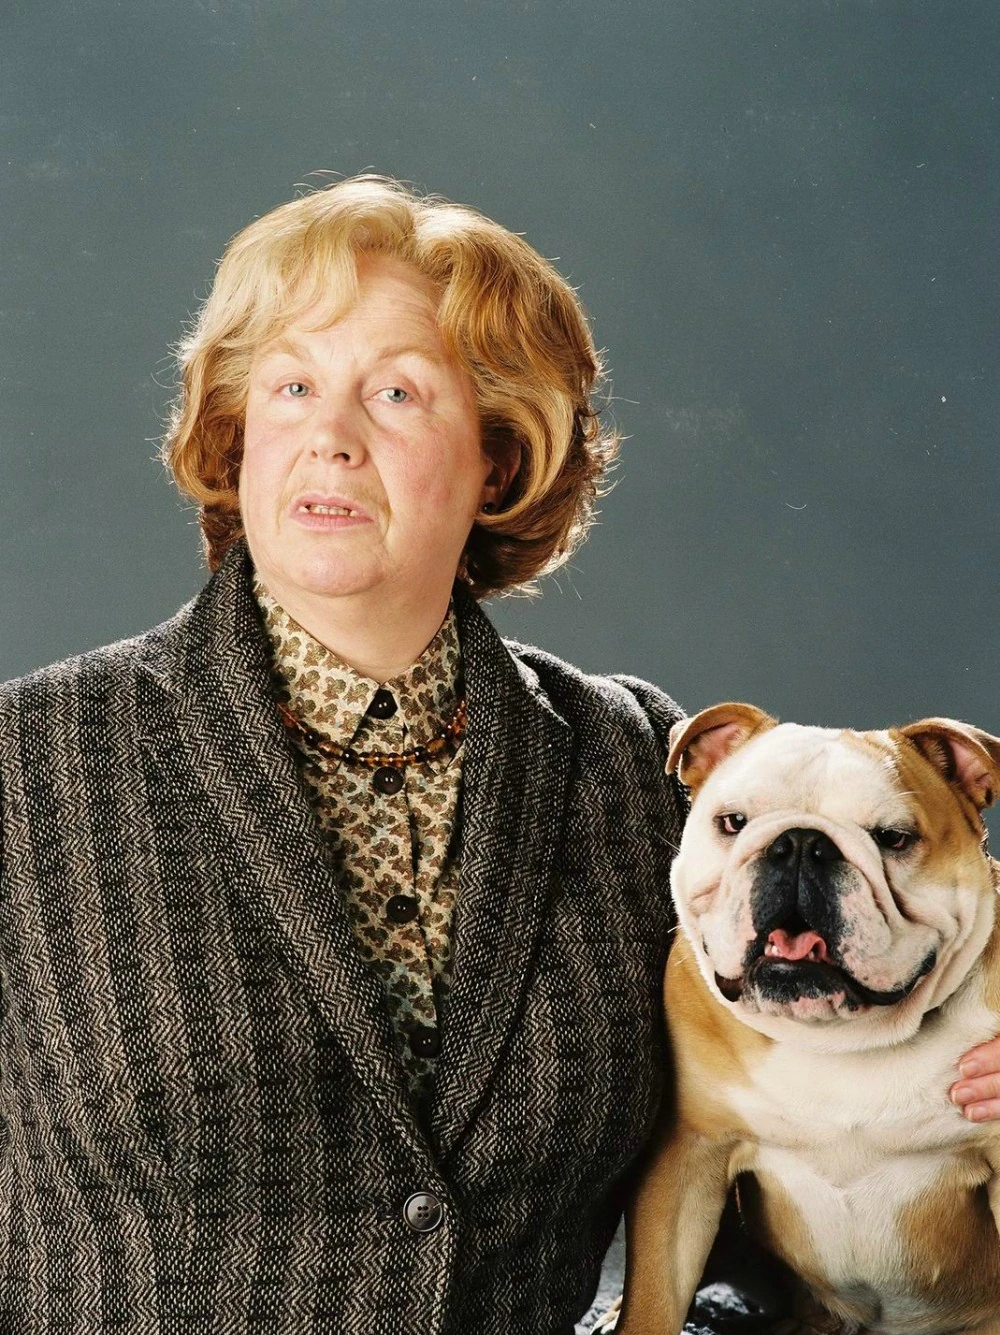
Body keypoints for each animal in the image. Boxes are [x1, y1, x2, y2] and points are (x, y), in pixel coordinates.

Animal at [613, 704, 1000, 1335]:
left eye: (894, 838)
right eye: (733, 822)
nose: (799, 843)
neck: (840, 1041)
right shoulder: (688, 1156)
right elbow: (651, 1300)